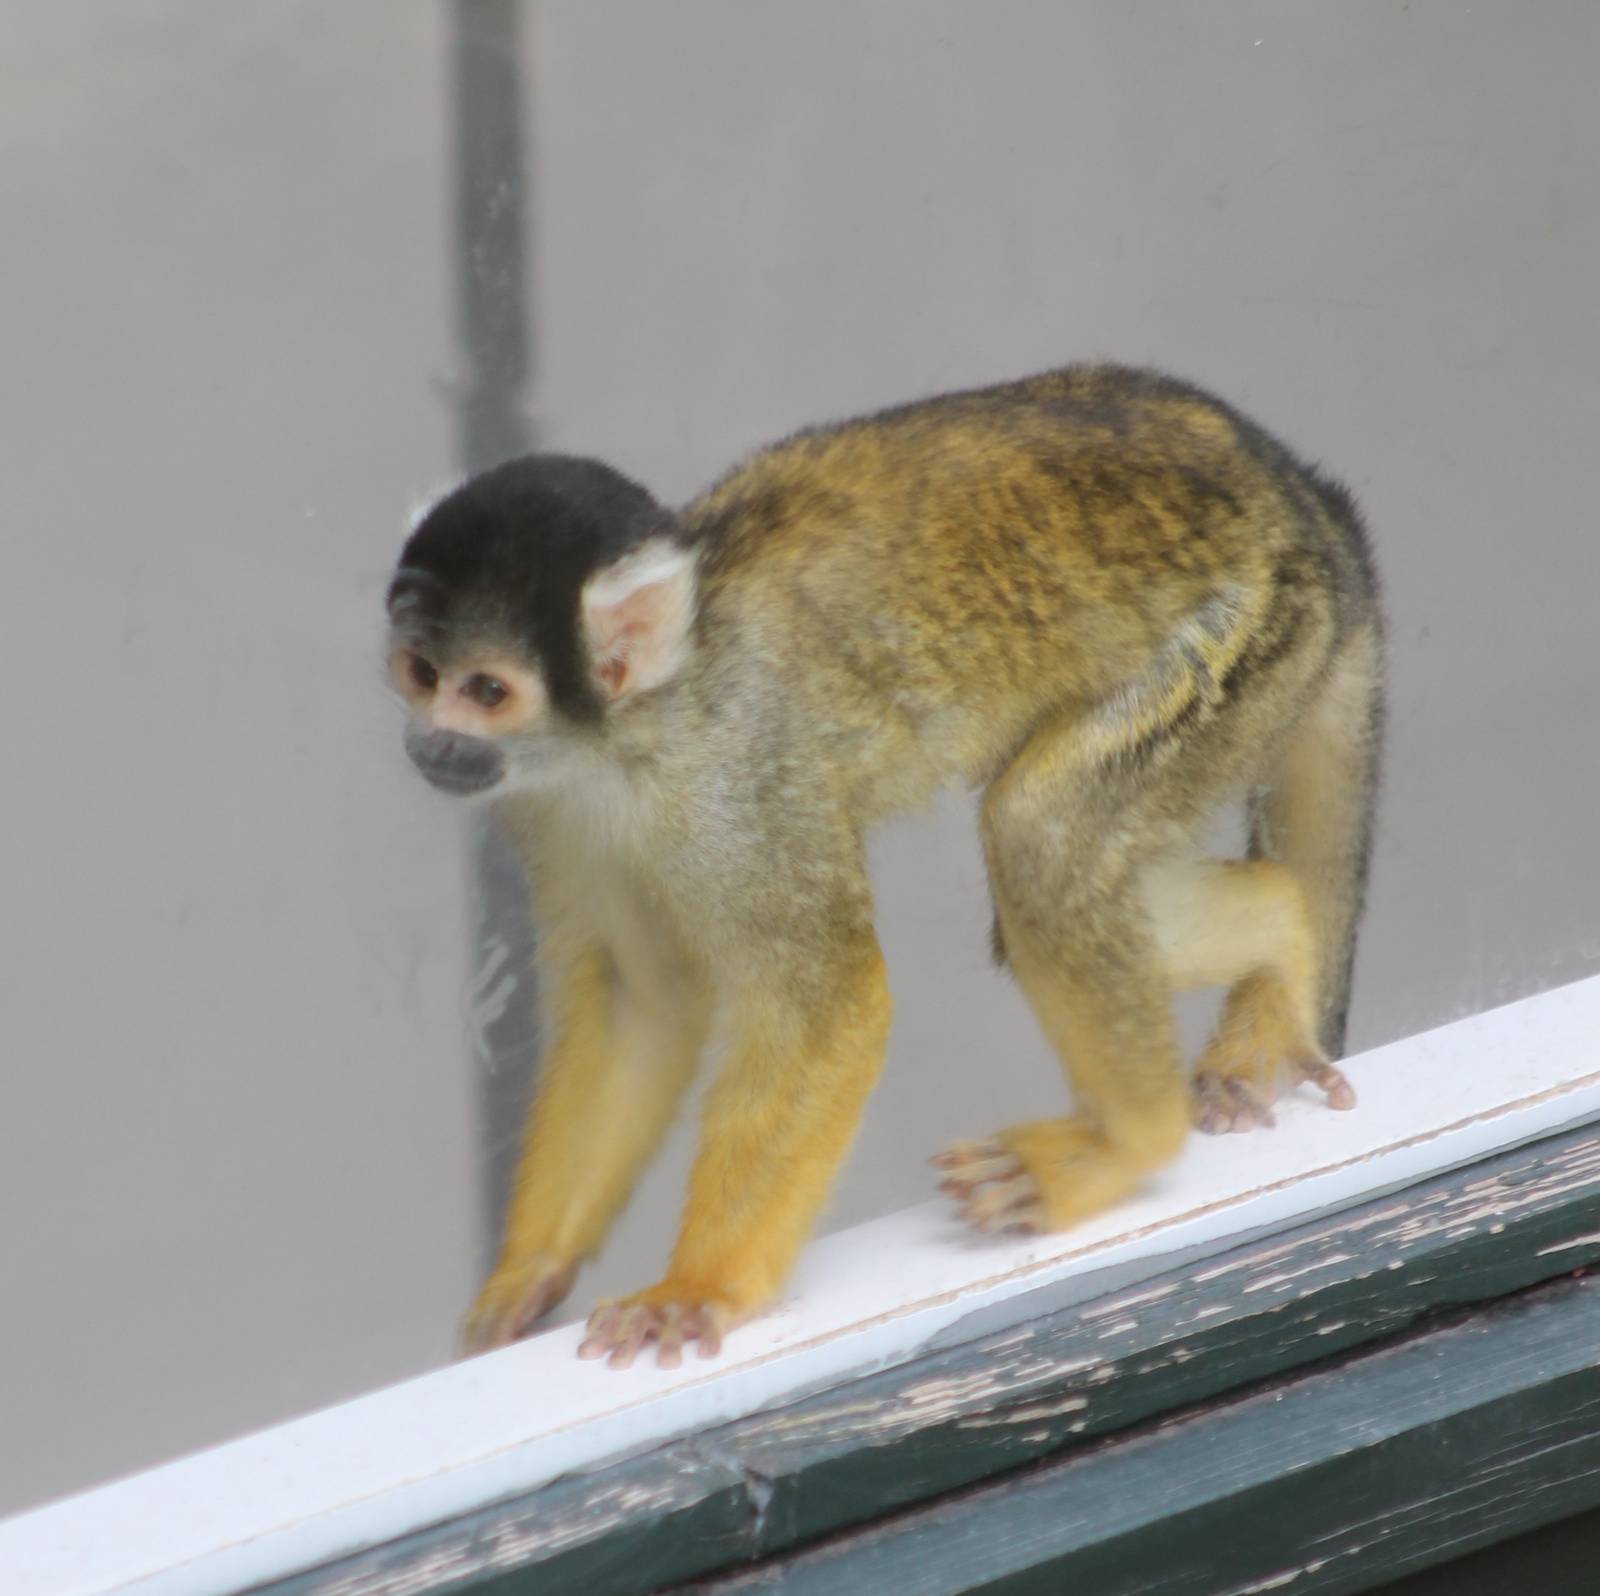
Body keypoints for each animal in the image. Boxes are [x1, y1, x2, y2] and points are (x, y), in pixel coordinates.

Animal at [385, 364, 1383, 1371]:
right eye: (420, 672)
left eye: (487, 691)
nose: (428, 743)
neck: (634, 729)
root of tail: (1301, 496)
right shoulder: (553, 803)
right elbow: (639, 991)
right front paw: (526, 1276)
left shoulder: (740, 781)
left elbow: (828, 1004)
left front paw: (699, 1288)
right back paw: (1281, 926)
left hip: (1249, 633)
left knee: (1039, 831)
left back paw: (1129, 1139)